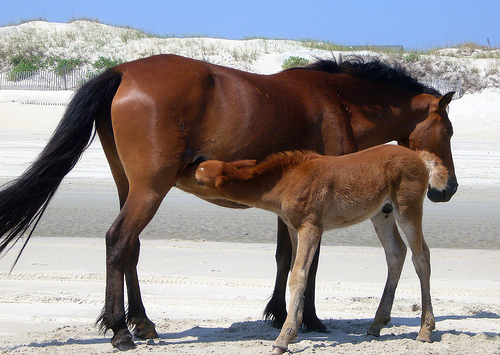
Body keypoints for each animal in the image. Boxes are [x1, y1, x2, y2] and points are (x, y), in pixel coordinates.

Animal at [195, 144, 450, 354]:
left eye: (198, 178)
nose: (194, 158)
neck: (288, 179)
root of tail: (418, 155)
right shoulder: (293, 228)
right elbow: (296, 270)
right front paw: (296, 326)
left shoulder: (311, 227)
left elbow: (298, 276)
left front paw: (283, 339)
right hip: (382, 214)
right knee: (396, 253)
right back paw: (377, 324)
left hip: (407, 209)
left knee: (421, 257)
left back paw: (425, 330)